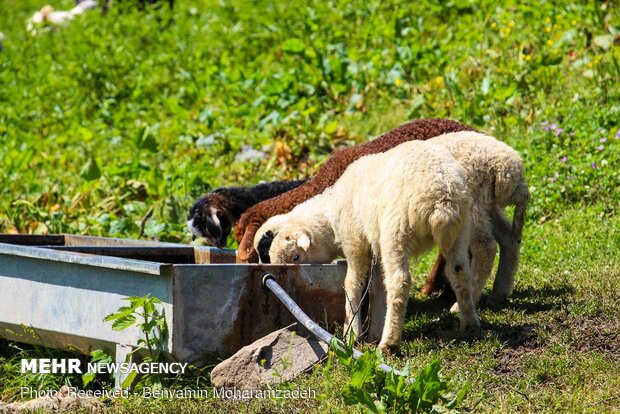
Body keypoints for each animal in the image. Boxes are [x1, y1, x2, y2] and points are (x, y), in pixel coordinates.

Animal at [260, 140, 478, 352]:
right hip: (461, 230)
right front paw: (374, 330)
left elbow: (353, 283)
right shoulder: (377, 250)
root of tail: (442, 197)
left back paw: (389, 343)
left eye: (296, 257)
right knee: (459, 272)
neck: (331, 217)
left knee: (399, 281)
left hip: (395, 231)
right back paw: (470, 324)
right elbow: (378, 286)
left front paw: (351, 333)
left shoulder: (355, 242)